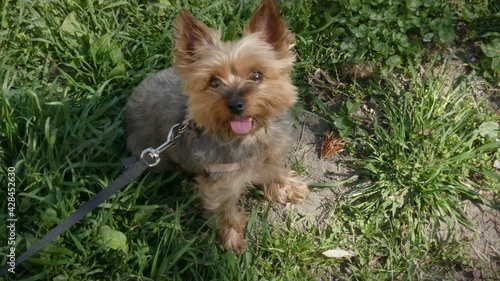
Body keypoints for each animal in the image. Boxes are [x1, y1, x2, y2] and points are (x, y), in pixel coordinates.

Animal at [125, 0, 308, 254]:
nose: (236, 104)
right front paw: (232, 239)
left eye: (257, 75)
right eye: (213, 82)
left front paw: (285, 187)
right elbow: (226, 211)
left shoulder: (270, 154)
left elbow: (275, 171)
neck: (247, 139)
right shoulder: (221, 185)